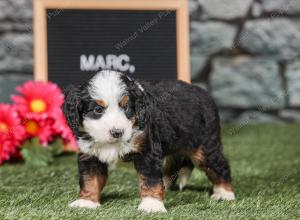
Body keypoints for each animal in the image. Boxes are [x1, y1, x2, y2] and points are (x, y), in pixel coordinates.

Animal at [63, 70, 236, 213]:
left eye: (126, 108)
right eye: (98, 110)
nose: (117, 132)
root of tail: (204, 94)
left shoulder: (147, 149)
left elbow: (150, 179)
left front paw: (152, 205)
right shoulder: (89, 153)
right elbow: (89, 179)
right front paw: (86, 202)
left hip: (205, 146)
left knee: (220, 166)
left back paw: (224, 193)